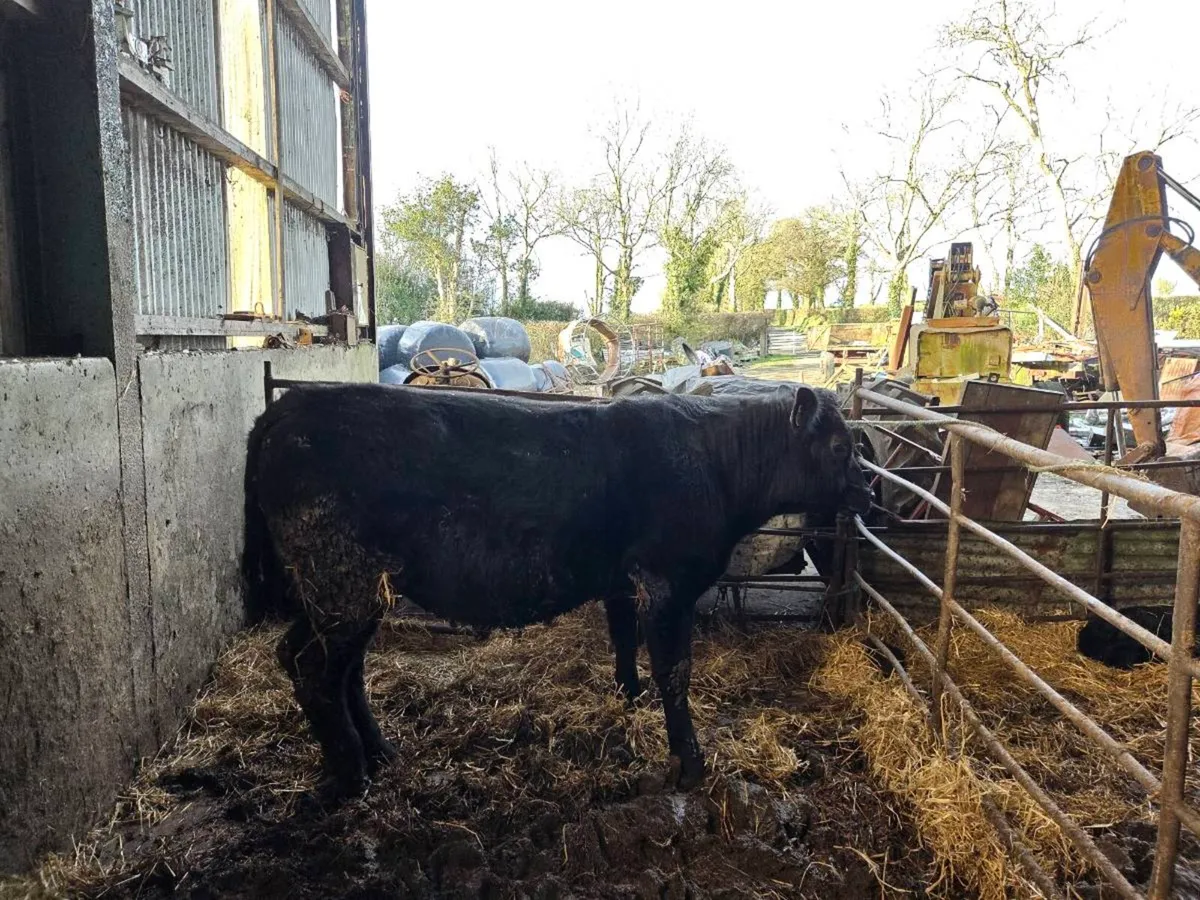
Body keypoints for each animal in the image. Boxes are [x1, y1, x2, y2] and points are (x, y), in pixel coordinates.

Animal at [242, 382, 872, 798]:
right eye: (841, 448)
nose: (868, 495)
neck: (715, 460)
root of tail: (286, 408)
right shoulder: (668, 580)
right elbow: (676, 670)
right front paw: (689, 764)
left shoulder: (624, 580)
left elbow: (624, 638)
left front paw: (627, 696)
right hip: (341, 580)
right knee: (312, 666)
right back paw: (352, 774)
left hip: (352, 591)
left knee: (329, 664)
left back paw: (379, 752)